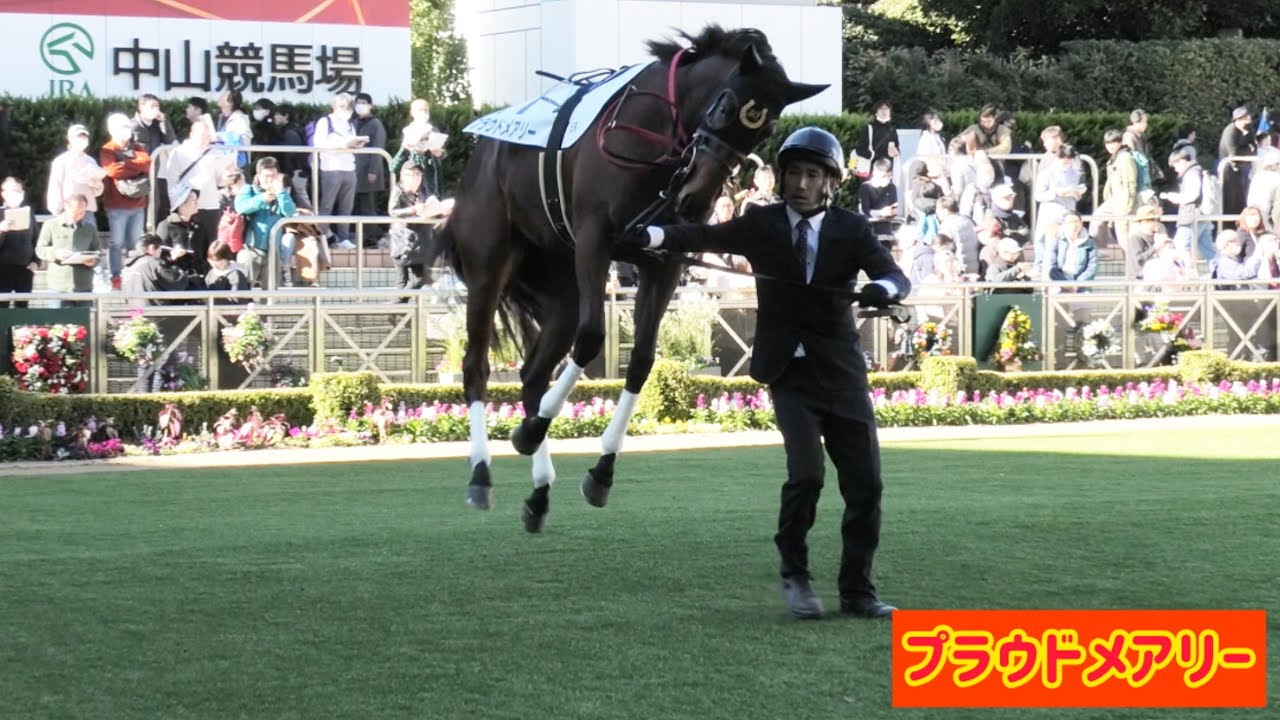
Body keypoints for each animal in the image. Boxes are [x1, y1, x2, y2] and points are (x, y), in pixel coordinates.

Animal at [435, 25, 825, 531]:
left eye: (768, 127)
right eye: (726, 106)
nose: (695, 195)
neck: (656, 138)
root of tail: (481, 154)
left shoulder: (663, 258)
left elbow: (640, 360)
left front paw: (599, 471)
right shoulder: (594, 239)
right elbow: (591, 339)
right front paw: (534, 432)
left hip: (560, 287)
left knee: (533, 372)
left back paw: (539, 489)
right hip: (489, 266)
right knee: (476, 366)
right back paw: (482, 473)